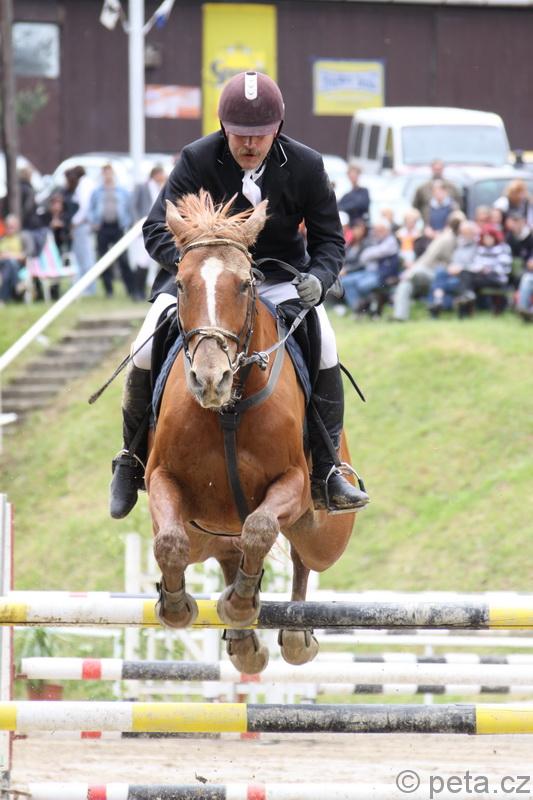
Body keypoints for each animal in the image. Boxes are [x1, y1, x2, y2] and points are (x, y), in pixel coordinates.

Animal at [146, 190, 358, 673]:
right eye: (181, 283)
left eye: (244, 285)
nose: (211, 380)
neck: (229, 410)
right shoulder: (161, 478)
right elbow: (169, 541)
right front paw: (176, 606)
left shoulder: (294, 483)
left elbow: (260, 528)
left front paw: (241, 605)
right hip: (209, 534)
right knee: (226, 552)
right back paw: (243, 642)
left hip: (323, 531)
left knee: (301, 555)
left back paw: (293, 635)